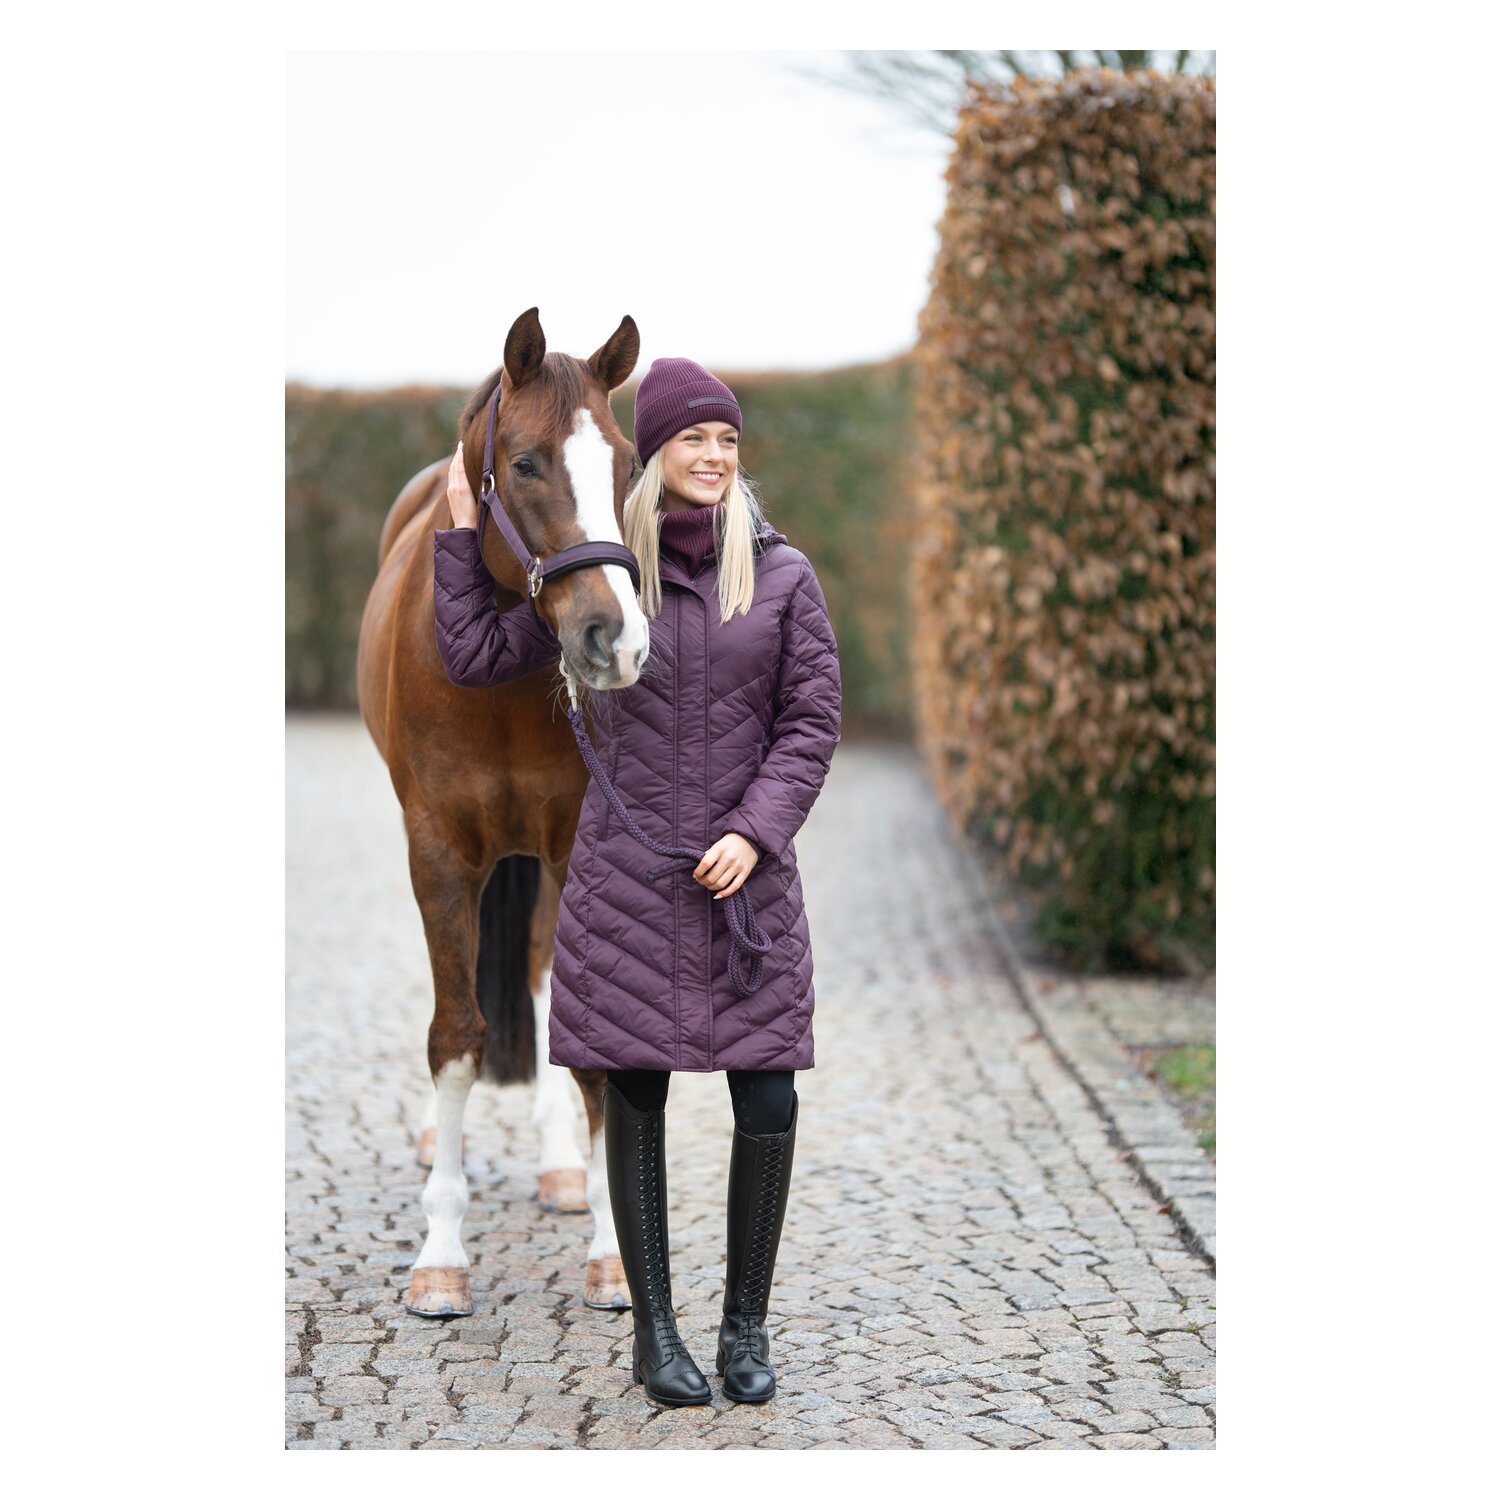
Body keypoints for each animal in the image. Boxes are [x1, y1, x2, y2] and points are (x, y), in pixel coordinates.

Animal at [356, 307, 648, 1317]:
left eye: (628, 465)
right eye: (524, 463)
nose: (614, 638)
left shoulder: (571, 849)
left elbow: (581, 1037)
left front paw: (610, 1248)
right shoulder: (437, 853)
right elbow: (455, 1036)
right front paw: (440, 1253)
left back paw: (561, 1169)